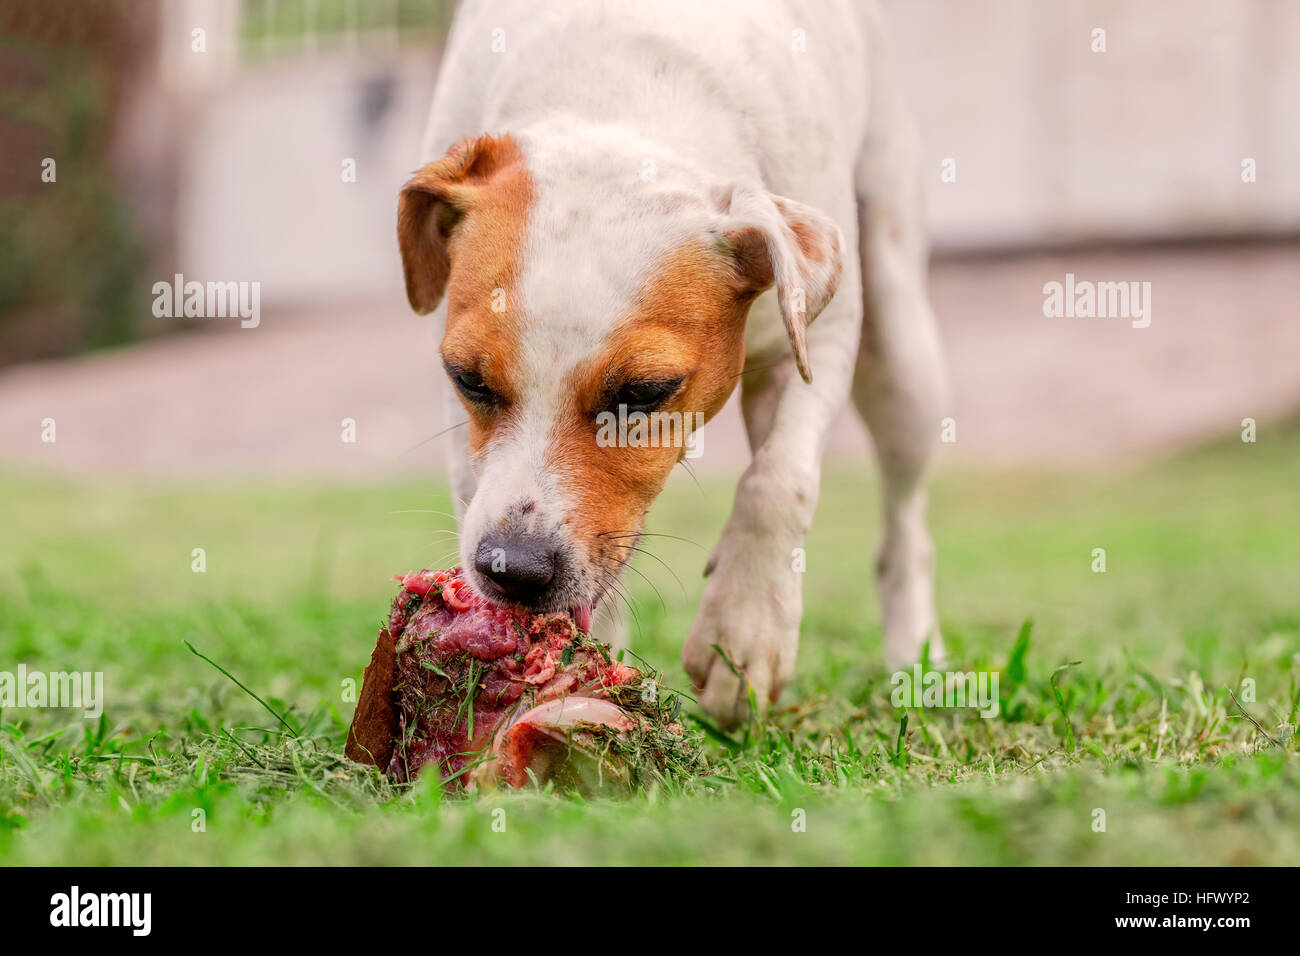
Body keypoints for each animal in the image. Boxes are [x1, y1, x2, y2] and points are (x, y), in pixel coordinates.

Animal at [392, 0, 946, 728]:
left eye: (644, 392)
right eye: (469, 380)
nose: (512, 569)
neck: (620, 89)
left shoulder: (820, 332)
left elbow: (778, 482)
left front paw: (743, 633)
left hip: (901, 352)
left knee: (905, 519)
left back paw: (915, 650)